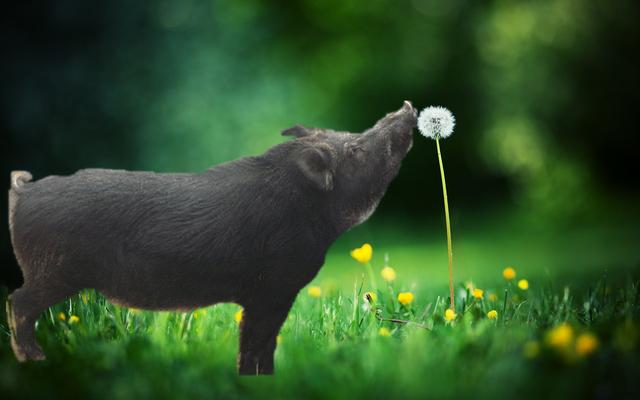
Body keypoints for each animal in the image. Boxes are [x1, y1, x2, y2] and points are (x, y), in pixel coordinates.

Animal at [7, 101, 418, 376]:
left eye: (351, 137)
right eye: (356, 149)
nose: (407, 107)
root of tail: (23, 193)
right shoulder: (272, 288)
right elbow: (257, 339)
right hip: (53, 270)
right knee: (17, 302)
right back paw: (35, 359)